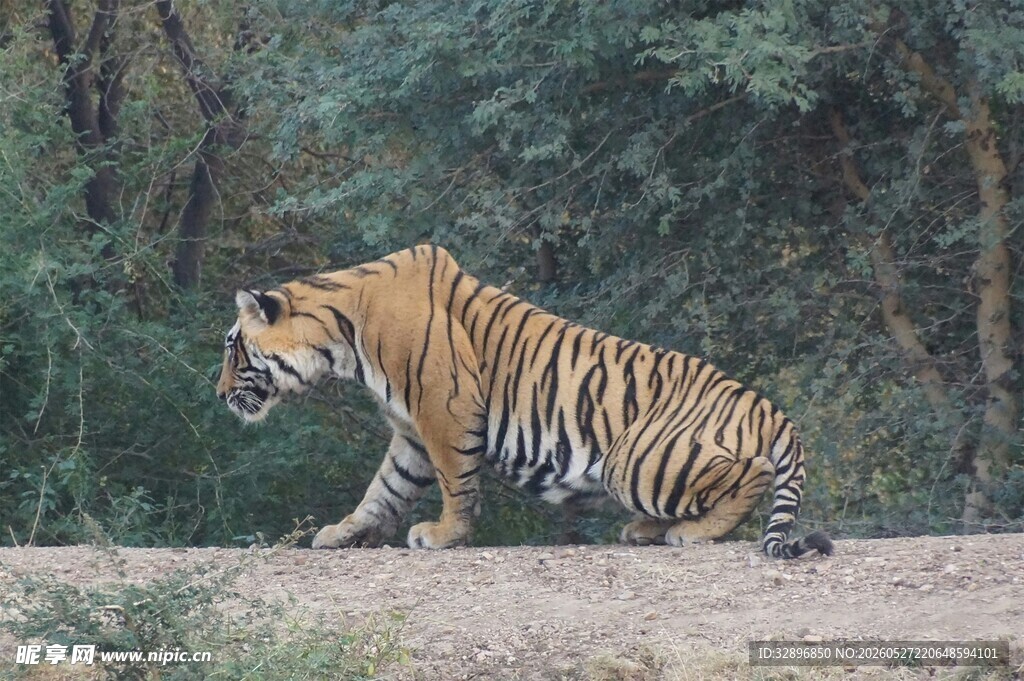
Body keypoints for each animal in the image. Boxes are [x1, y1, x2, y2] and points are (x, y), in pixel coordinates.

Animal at [217, 245, 832, 558]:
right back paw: (646, 530)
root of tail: (767, 406)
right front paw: (343, 534)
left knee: (752, 472)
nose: (219, 394)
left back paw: (689, 533)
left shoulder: (445, 409)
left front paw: (444, 536)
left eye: (231, 346)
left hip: (637, 459)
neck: (340, 337)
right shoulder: (410, 433)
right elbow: (383, 491)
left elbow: (456, 483)